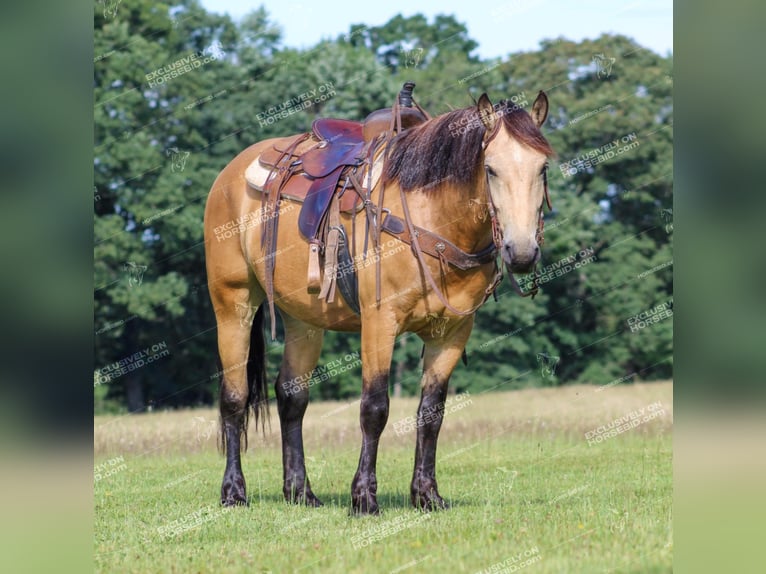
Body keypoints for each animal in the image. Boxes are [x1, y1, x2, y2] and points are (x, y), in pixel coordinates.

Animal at [202, 83, 552, 516]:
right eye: (490, 169)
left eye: (543, 168)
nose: (522, 252)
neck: (432, 217)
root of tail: (230, 173)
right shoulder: (379, 323)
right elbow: (374, 408)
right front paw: (364, 497)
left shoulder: (452, 332)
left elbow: (431, 413)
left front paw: (427, 494)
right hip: (233, 304)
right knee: (234, 398)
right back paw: (234, 491)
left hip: (304, 320)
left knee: (292, 397)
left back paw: (300, 491)